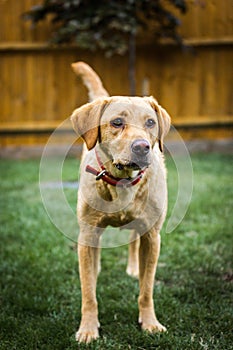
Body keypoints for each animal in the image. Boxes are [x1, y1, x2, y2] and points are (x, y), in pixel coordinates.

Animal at [70, 61, 170, 344]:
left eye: (150, 122)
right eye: (117, 122)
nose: (142, 147)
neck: (122, 180)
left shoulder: (153, 235)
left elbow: (146, 289)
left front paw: (150, 323)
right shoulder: (87, 232)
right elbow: (88, 292)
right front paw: (88, 328)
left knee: (134, 242)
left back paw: (134, 268)